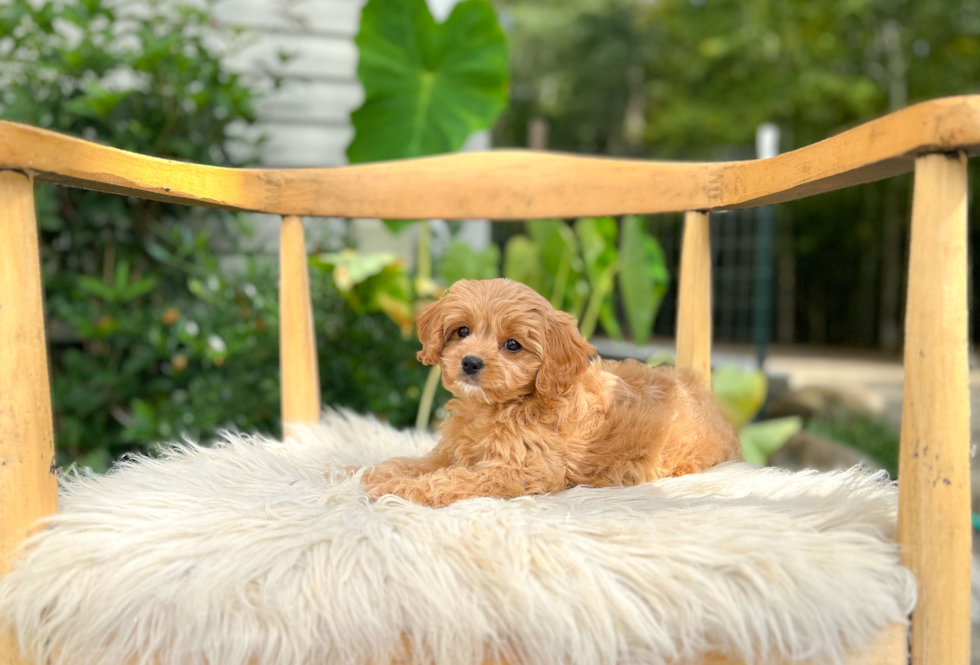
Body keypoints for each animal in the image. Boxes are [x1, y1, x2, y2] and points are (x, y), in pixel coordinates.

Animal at [362, 278, 744, 506]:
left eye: (512, 345)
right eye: (462, 331)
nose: (470, 362)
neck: (496, 408)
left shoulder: (521, 471)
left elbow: (454, 479)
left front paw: (399, 489)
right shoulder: (454, 451)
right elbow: (420, 462)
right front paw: (371, 471)